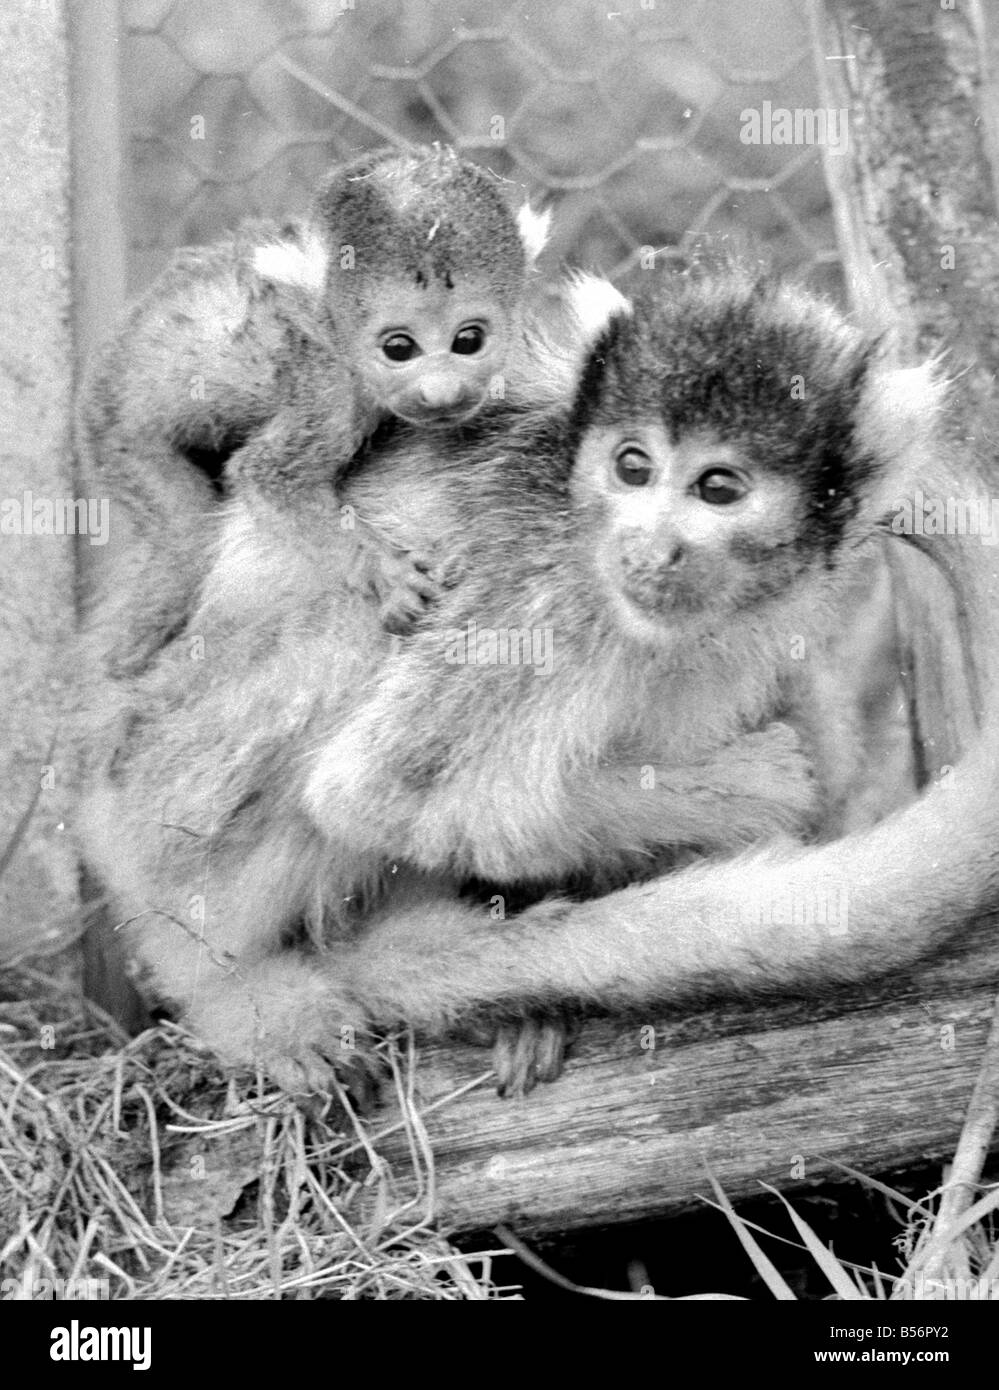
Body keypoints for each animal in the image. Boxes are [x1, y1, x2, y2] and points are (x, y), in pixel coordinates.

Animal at [77, 269, 935, 1098]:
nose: (644, 548)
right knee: (351, 641)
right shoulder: (546, 580)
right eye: (632, 467)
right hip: (164, 803)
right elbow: (382, 795)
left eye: (717, 488)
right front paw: (751, 785)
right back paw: (233, 986)